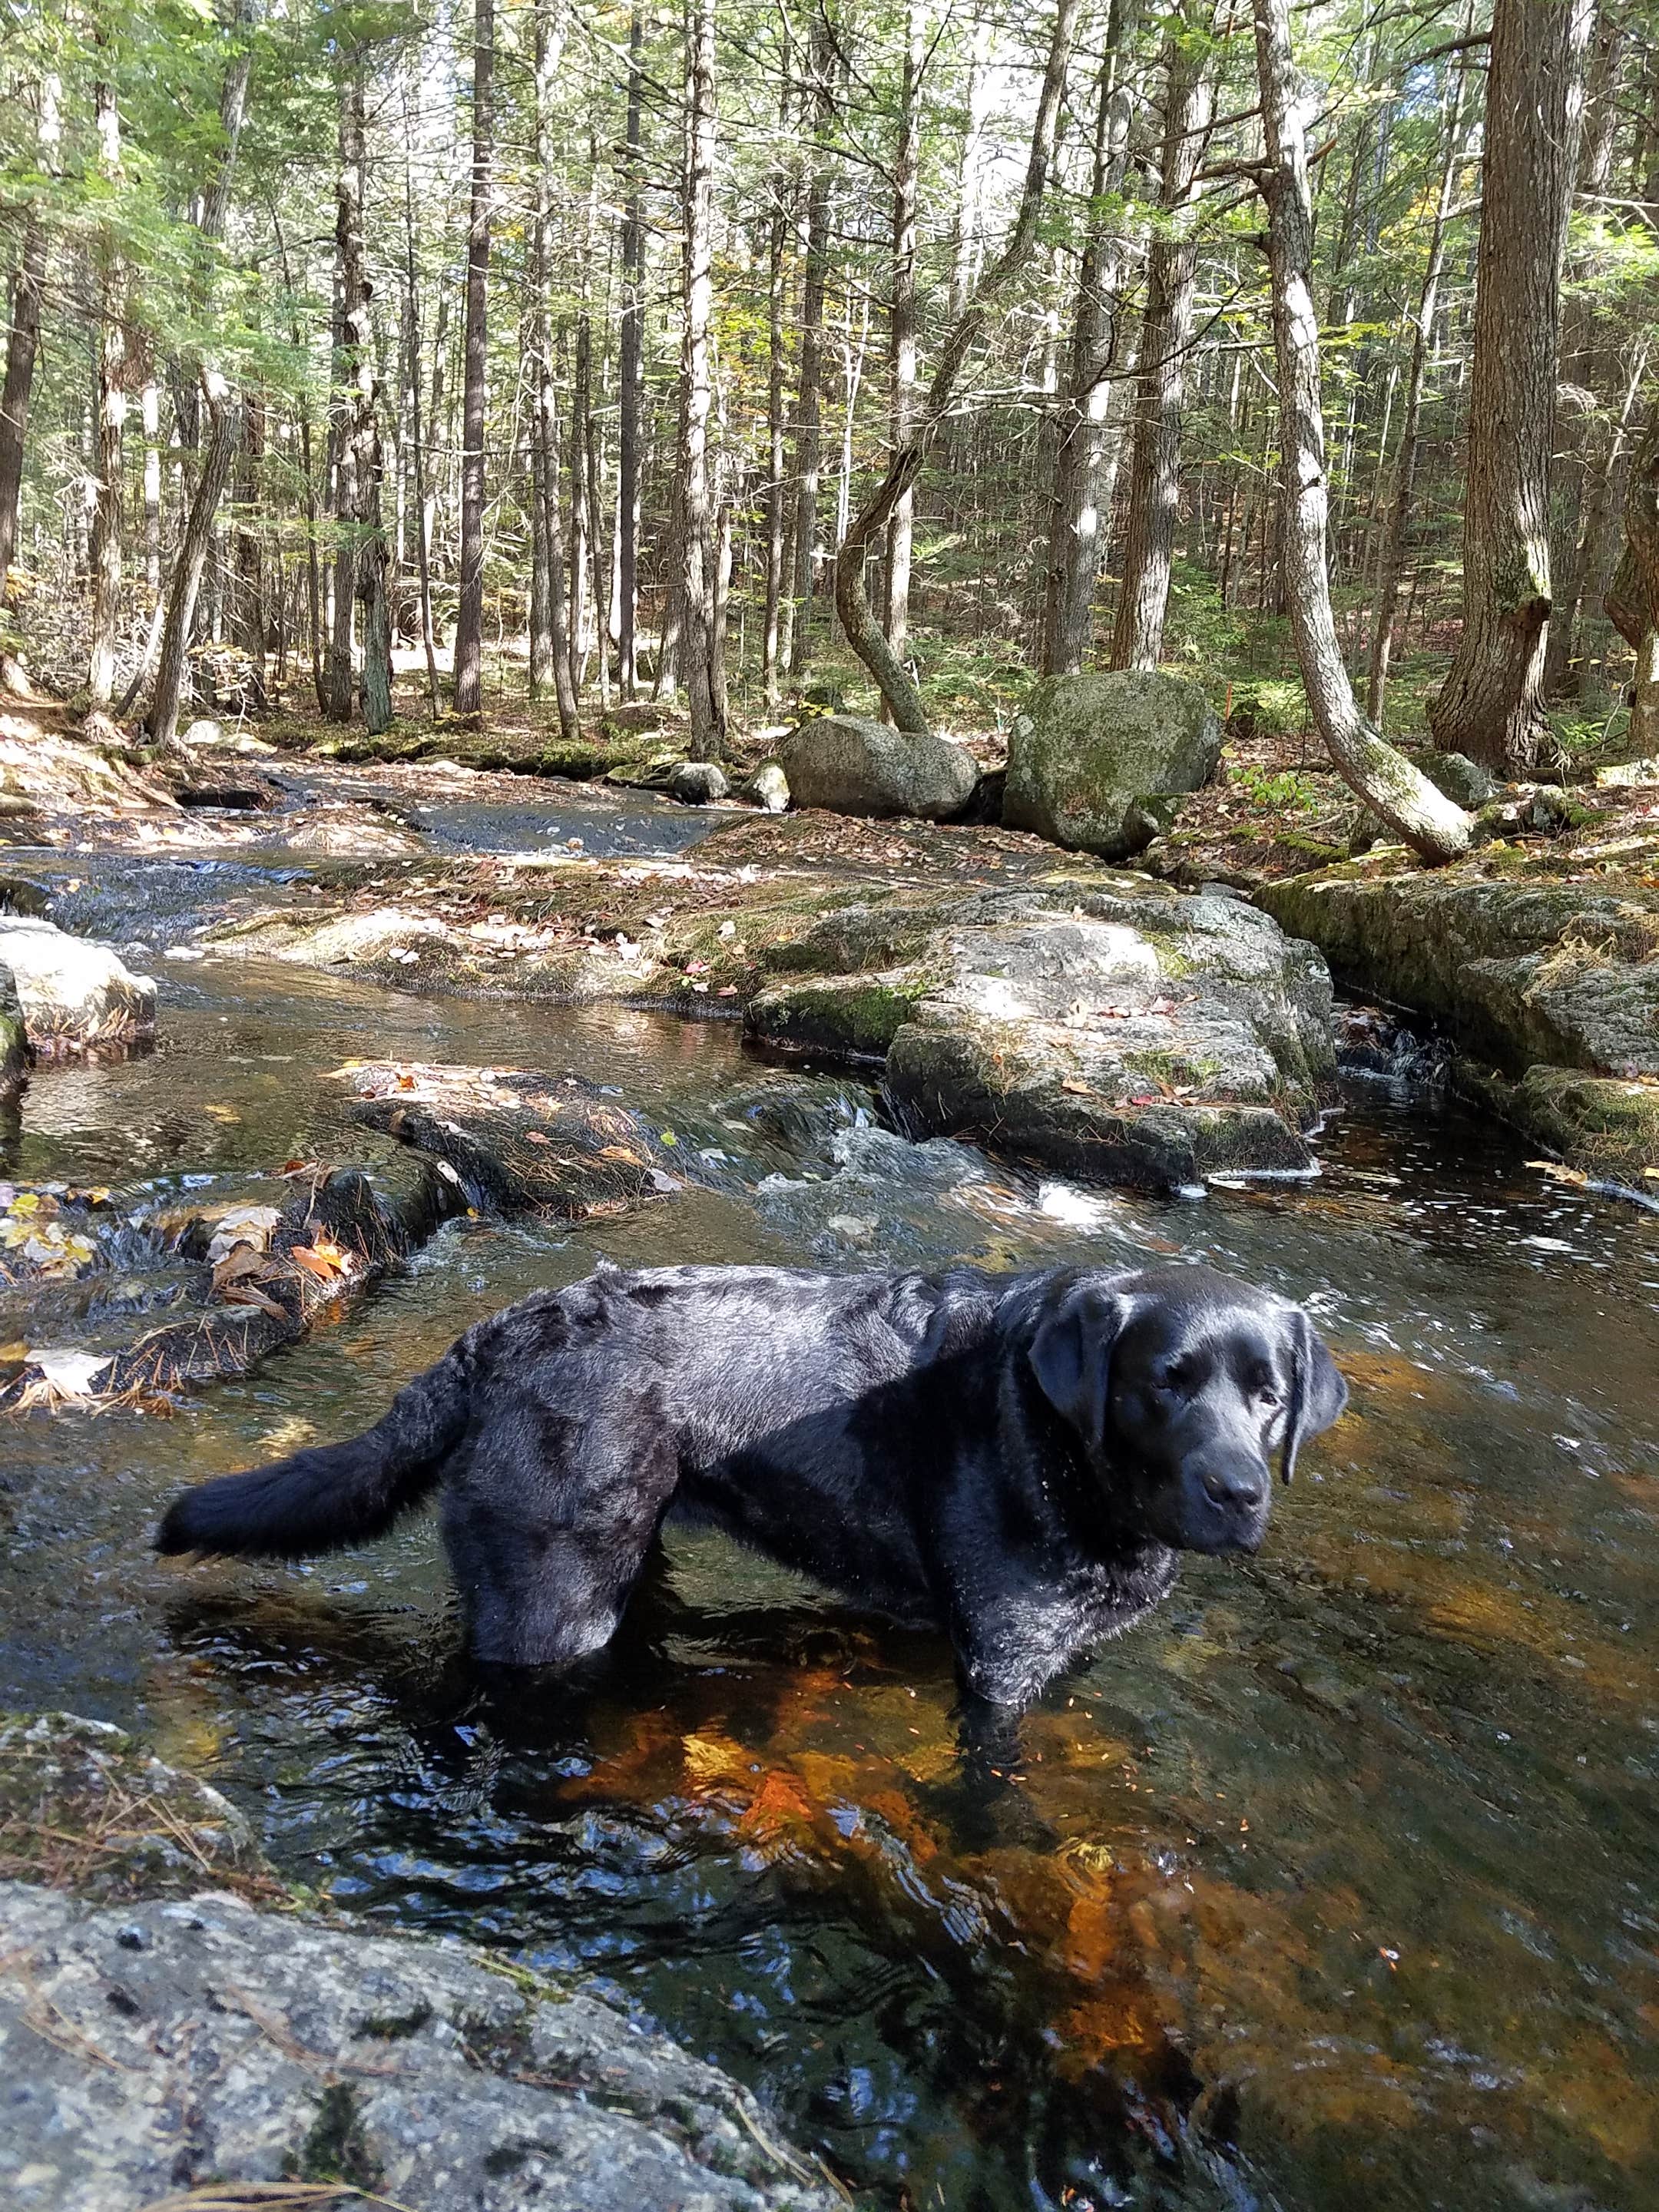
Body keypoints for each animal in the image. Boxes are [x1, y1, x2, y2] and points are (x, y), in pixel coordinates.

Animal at [156, 1265, 1353, 1707]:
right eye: (1163, 1385)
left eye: (1270, 1395)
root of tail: (492, 1338)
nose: (1240, 1489)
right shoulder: (1003, 1670)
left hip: (631, 1560)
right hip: (556, 1602)